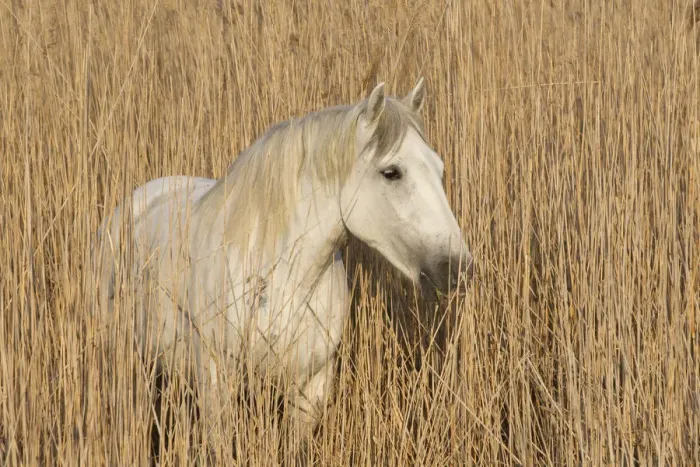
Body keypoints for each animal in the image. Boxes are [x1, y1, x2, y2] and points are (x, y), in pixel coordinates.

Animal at [92, 78, 474, 461]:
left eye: (439, 169)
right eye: (391, 172)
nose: (458, 268)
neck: (283, 281)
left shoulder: (310, 388)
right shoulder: (217, 385)